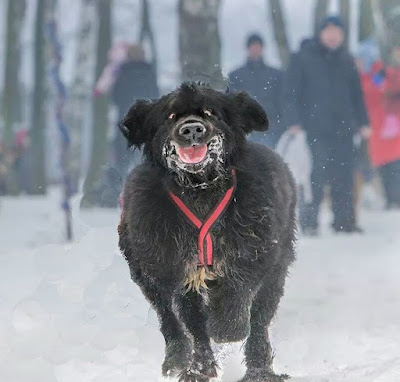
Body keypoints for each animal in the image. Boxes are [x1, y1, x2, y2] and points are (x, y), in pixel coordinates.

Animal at [117, 83, 296, 382]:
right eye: (171, 115)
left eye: (211, 112)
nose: (192, 129)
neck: (200, 190)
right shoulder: (176, 269)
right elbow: (192, 323)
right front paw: (198, 368)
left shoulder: (254, 253)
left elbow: (238, 293)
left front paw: (227, 328)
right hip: (146, 272)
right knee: (172, 320)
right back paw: (181, 360)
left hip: (276, 270)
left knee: (259, 321)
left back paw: (259, 370)